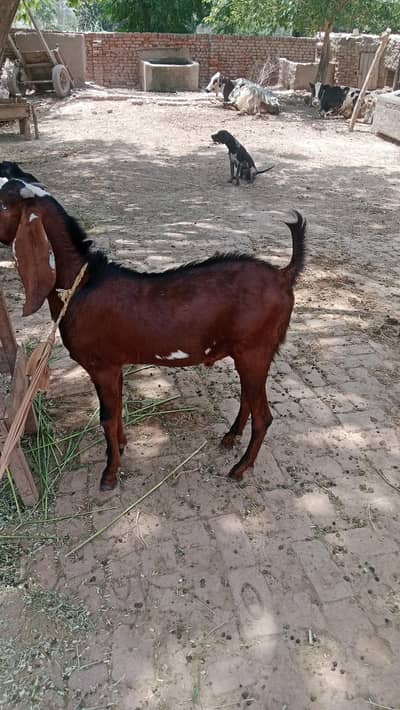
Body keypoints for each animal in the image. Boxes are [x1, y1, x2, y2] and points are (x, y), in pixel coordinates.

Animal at [0, 177, 306, 491]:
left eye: (2, 204)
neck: (82, 283)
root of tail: (283, 275)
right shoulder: (115, 365)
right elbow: (117, 410)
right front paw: (121, 447)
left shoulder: (102, 366)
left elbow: (106, 418)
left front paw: (110, 474)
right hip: (248, 352)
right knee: (248, 397)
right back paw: (230, 438)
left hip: (255, 350)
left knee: (263, 416)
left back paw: (240, 468)